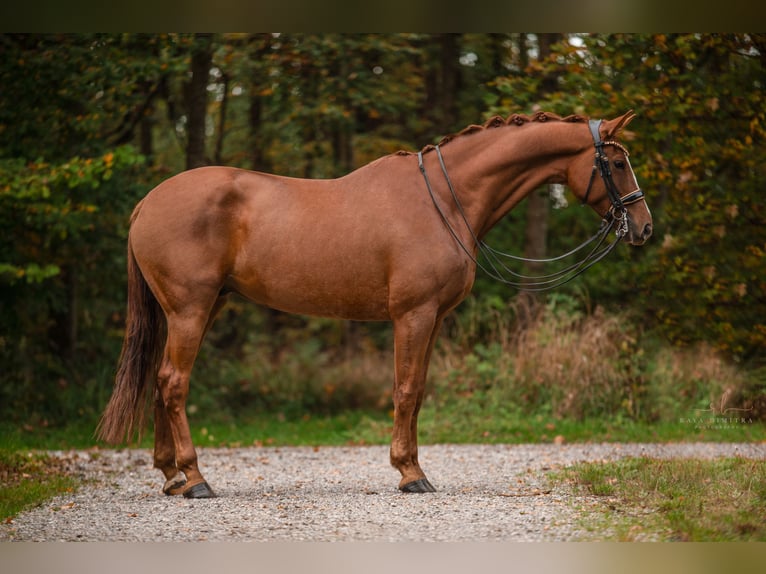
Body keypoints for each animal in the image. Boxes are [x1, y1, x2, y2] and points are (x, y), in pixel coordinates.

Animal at [96, 111, 656, 500]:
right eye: (619, 162)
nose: (645, 228)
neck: (444, 200)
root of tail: (147, 203)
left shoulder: (433, 320)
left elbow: (419, 389)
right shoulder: (414, 314)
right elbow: (405, 390)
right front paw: (411, 474)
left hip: (197, 309)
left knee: (160, 381)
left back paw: (172, 476)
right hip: (191, 310)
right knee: (174, 382)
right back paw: (194, 479)